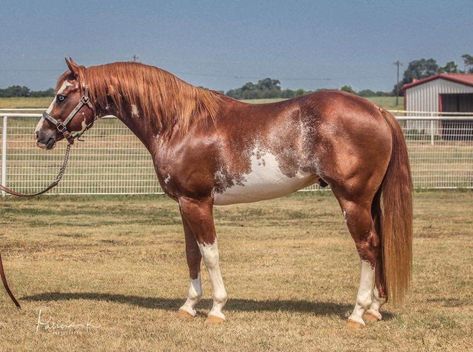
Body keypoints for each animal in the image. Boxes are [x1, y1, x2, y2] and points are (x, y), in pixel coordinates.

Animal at [35, 59, 412, 328]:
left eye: (62, 96)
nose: (41, 134)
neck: (180, 124)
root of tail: (377, 110)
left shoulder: (198, 203)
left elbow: (211, 253)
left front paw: (216, 308)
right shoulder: (184, 204)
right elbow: (192, 254)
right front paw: (189, 306)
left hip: (353, 200)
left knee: (368, 247)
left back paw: (358, 313)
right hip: (368, 201)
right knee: (377, 245)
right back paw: (374, 308)